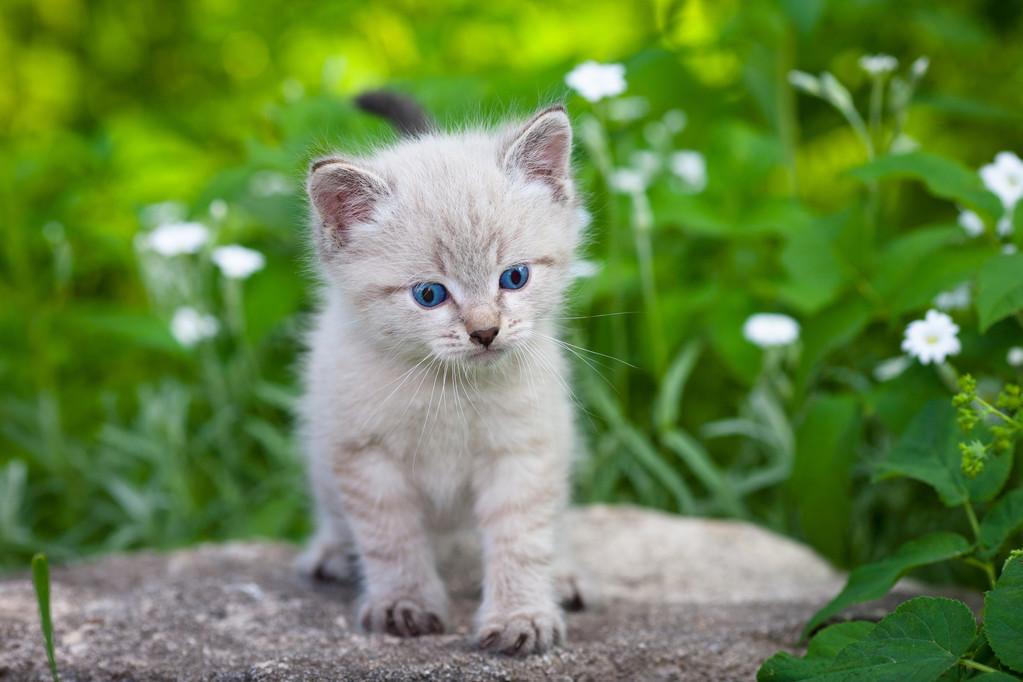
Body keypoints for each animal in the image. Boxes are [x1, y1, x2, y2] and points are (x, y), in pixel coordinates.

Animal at [298, 96, 585, 654]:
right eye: (429, 294)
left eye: (514, 277)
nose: (485, 331)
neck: (452, 393)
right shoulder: (364, 455)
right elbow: (391, 541)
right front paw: (402, 604)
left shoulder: (525, 449)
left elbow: (522, 538)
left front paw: (521, 615)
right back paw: (331, 553)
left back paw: (561, 574)